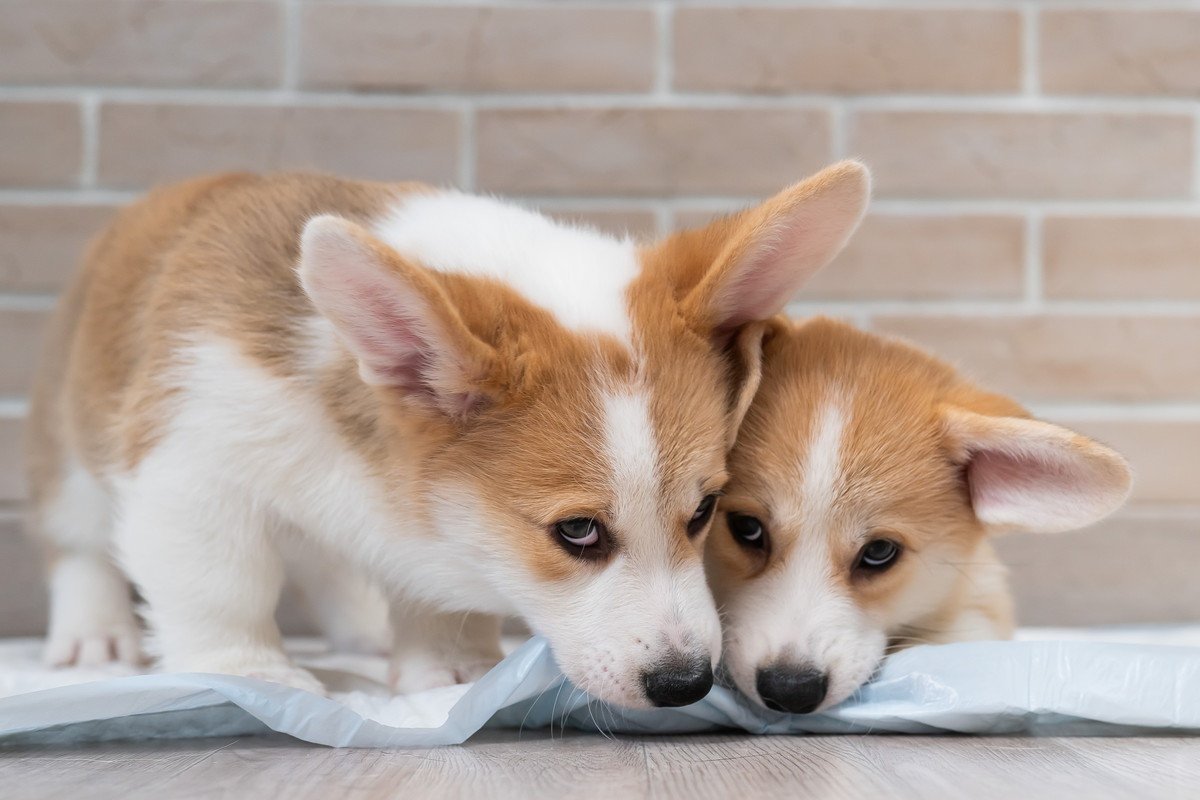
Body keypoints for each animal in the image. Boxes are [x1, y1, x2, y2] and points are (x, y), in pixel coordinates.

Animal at [25, 163, 873, 705]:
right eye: (577, 532)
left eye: (703, 513)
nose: (685, 685)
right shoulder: (194, 470)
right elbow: (222, 586)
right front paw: (249, 673)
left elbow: (437, 594)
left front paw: (455, 670)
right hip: (71, 447)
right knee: (78, 540)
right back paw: (96, 638)